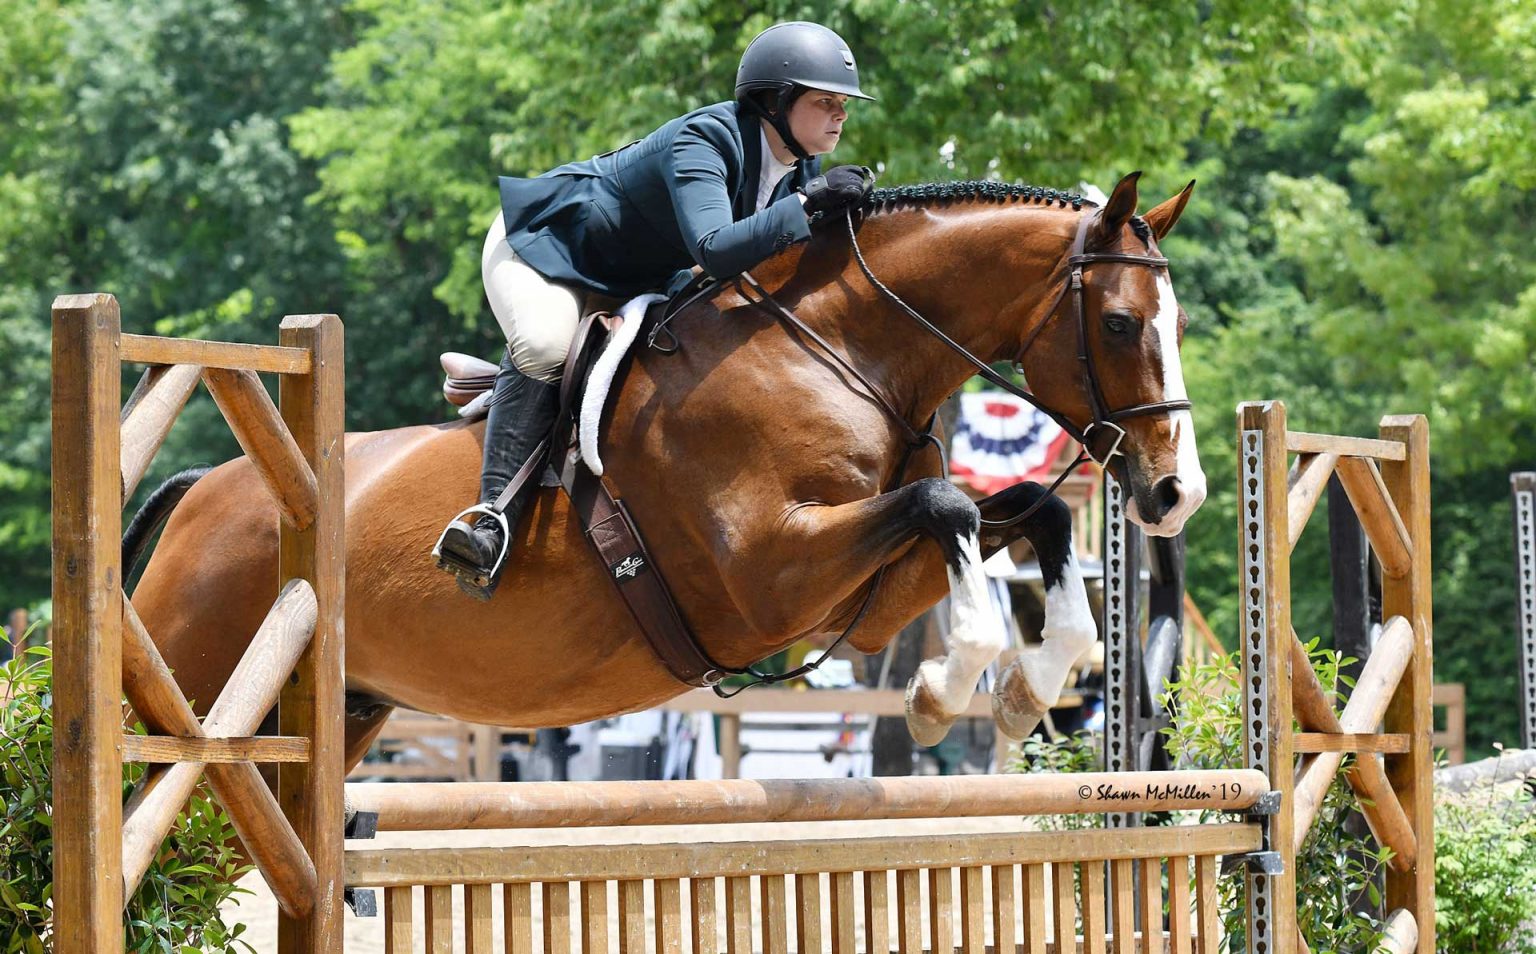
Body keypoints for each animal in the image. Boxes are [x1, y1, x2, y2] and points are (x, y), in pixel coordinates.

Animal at [126, 171, 1205, 773]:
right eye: (1120, 324)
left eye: (1180, 322)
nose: (1174, 493)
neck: (840, 349)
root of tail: (204, 489)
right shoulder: (769, 578)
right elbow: (950, 504)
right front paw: (949, 694)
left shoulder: (858, 598)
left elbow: (1017, 512)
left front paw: (1026, 689)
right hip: (197, 689)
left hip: (336, 711)